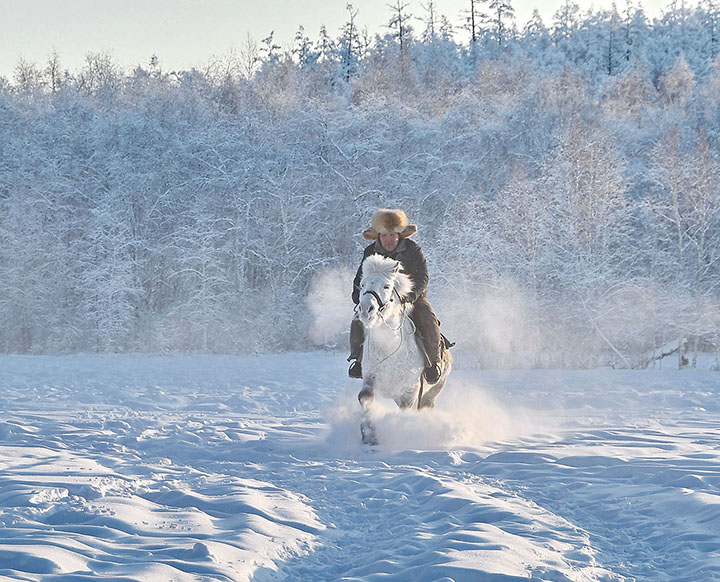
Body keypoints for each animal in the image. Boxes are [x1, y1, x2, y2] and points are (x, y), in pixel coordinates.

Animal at [354, 253, 450, 444]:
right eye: (362, 284)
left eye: (386, 286)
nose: (366, 309)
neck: (389, 348)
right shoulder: (370, 378)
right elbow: (365, 398)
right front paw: (369, 437)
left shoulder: (410, 390)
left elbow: (407, 411)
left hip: (434, 388)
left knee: (426, 404)